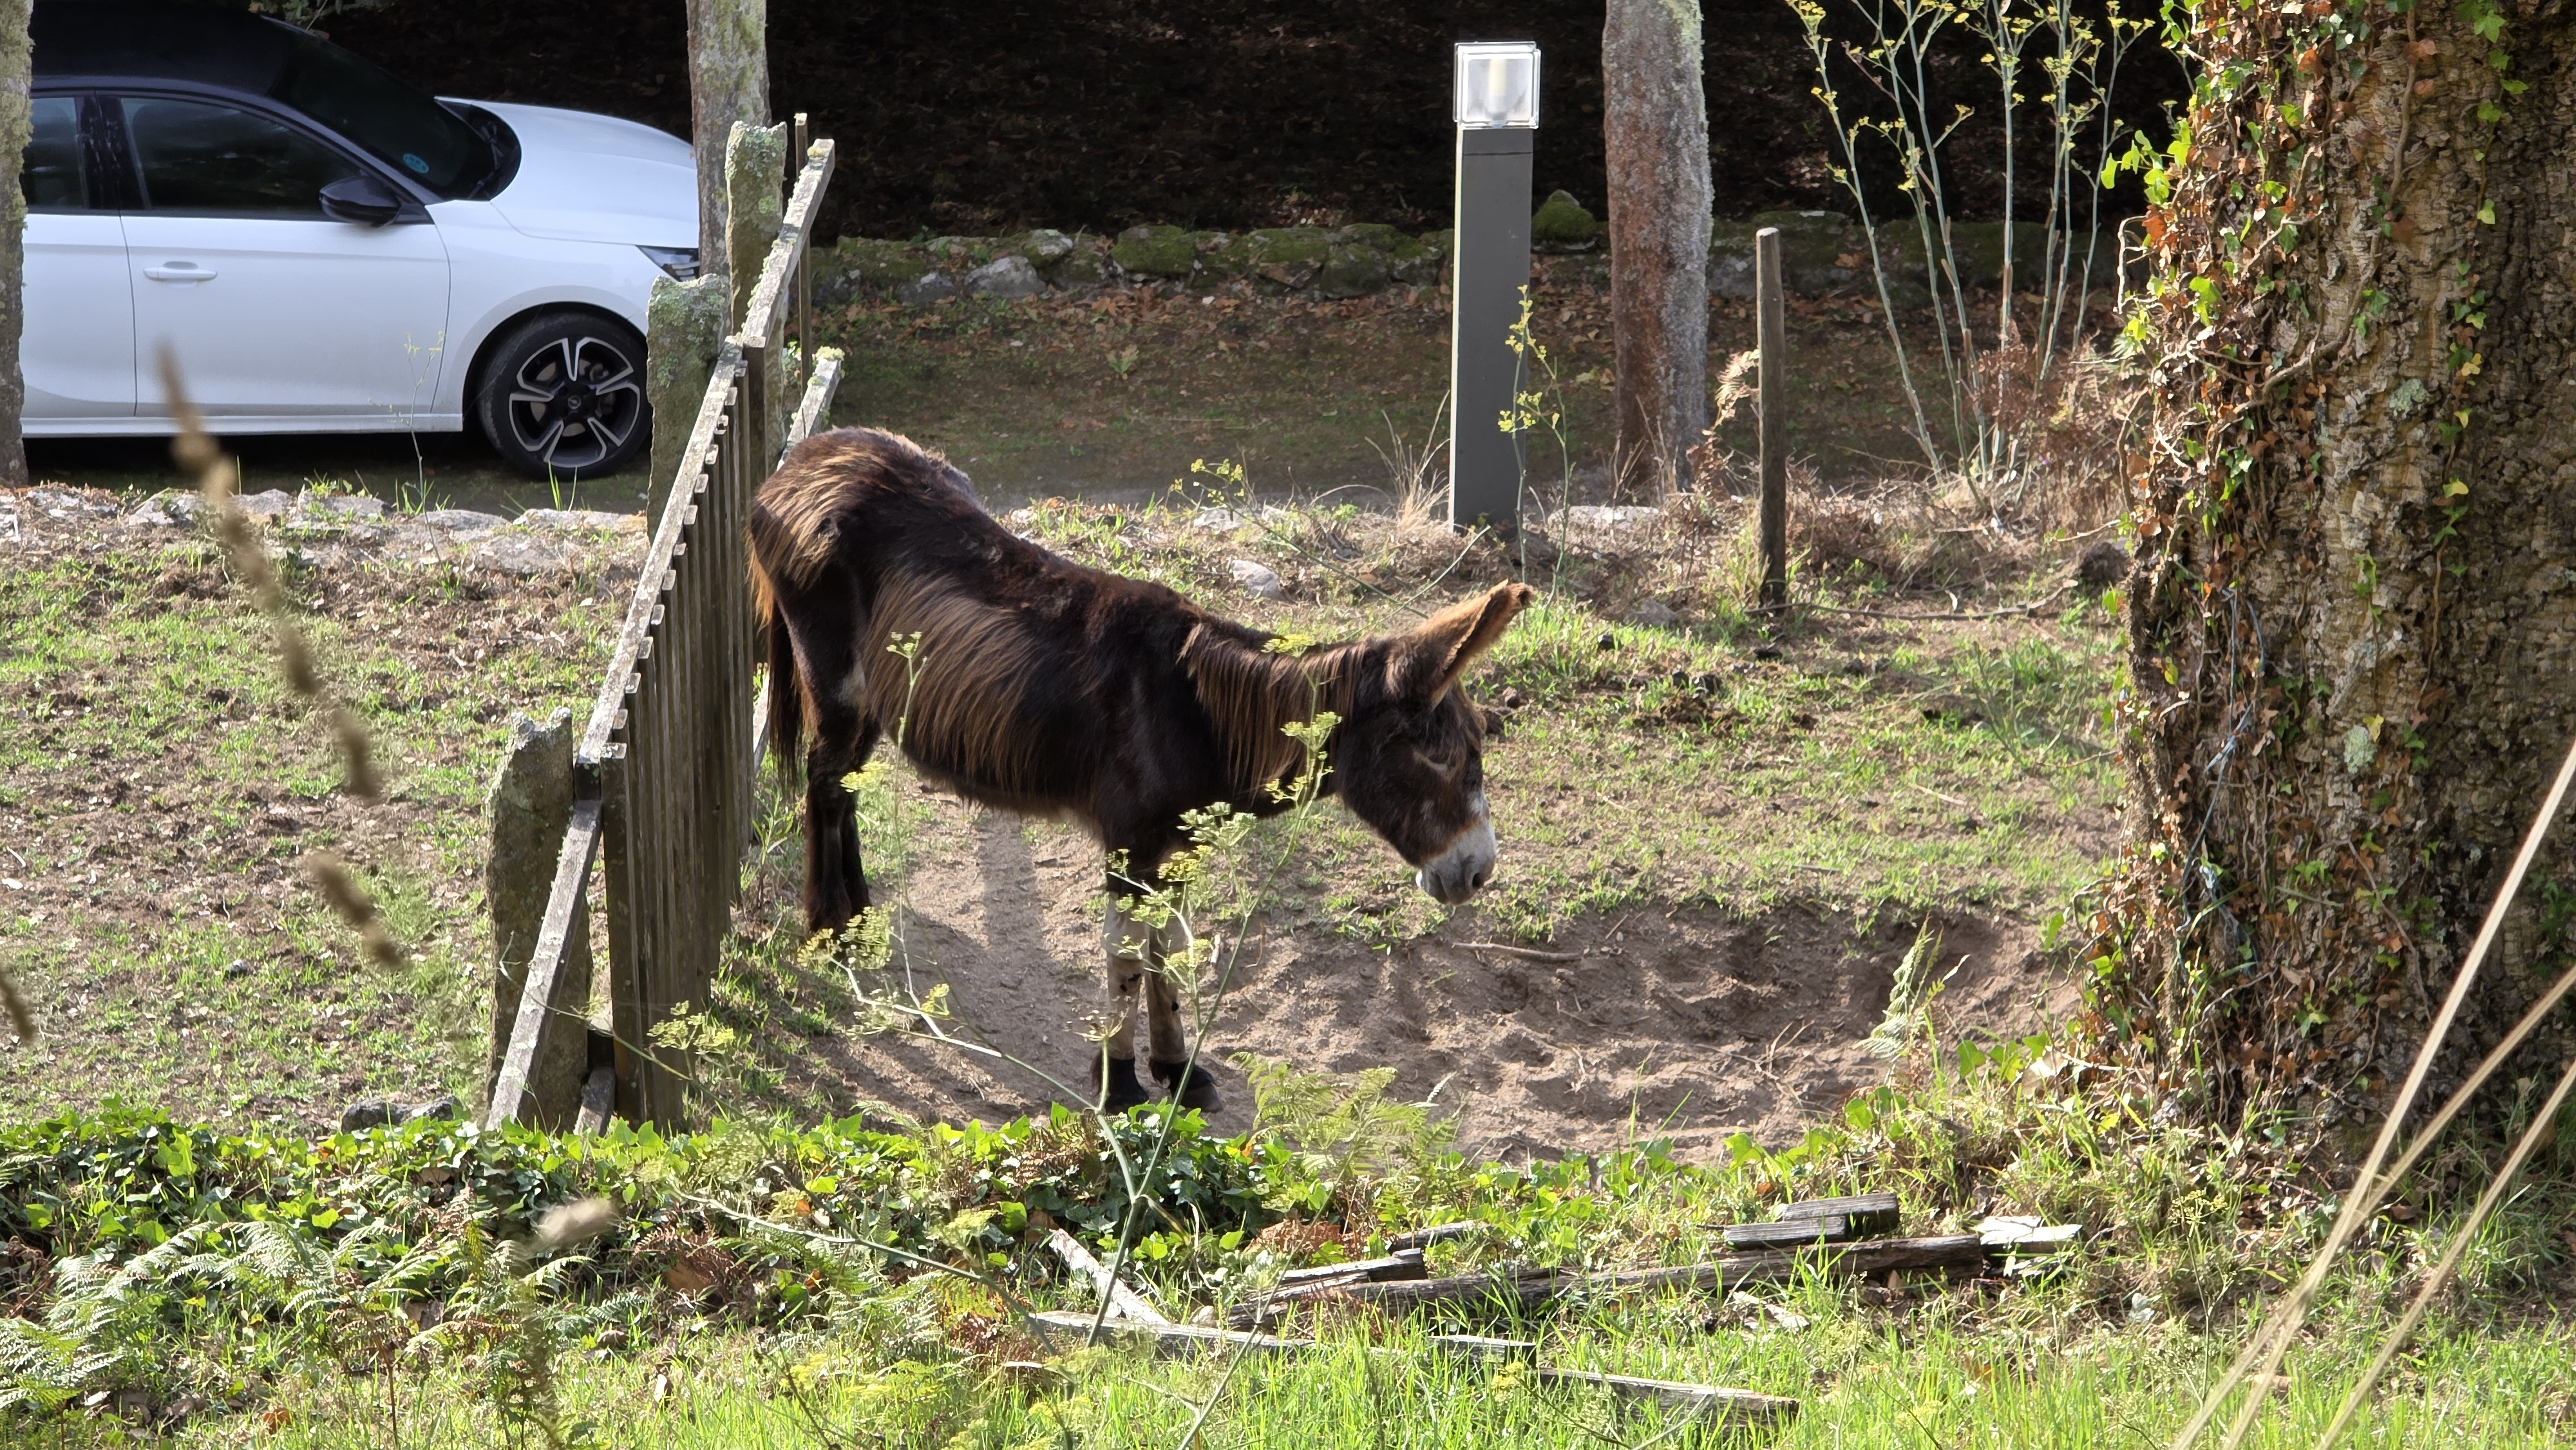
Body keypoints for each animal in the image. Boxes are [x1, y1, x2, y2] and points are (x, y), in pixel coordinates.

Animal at [749, 427, 1534, 1111]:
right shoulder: (1128, 849)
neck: (1196, 714)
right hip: (835, 680)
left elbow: (1172, 952)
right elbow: (1127, 957)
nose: (1480, 871)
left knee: (846, 787)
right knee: (824, 784)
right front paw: (1120, 1083)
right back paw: (827, 928)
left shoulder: (1178, 850)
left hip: (875, 697)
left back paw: (858, 913)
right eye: (1439, 754)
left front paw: (1179, 1070)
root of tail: (810, 454)